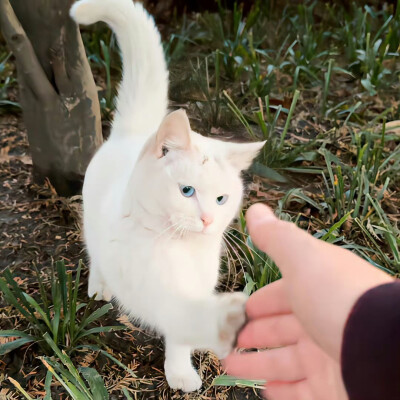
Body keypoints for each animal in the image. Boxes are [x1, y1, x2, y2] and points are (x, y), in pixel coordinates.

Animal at [70, 0, 264, 394]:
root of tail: (133, 131)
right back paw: (99, 284)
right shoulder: (150, 290)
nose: (207, 220)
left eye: (221, 199)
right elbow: (178, 317)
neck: (177, 249)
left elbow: (180, 339)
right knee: (95, 253)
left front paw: (181, 370)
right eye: (186, 190)